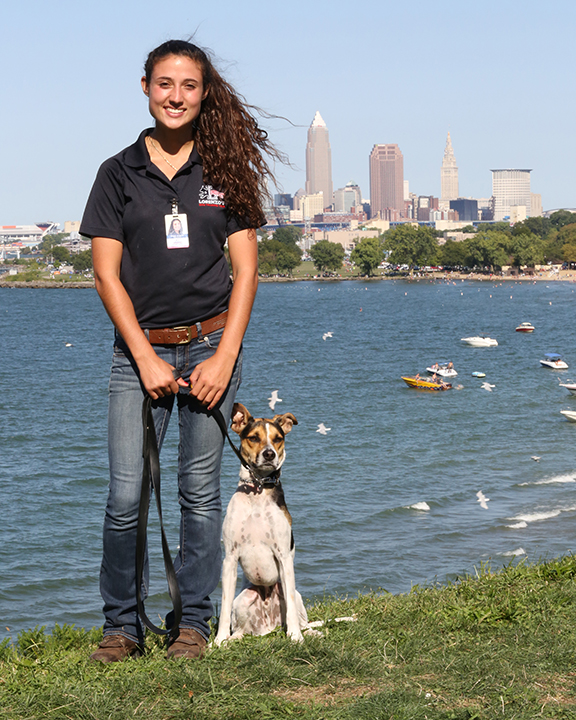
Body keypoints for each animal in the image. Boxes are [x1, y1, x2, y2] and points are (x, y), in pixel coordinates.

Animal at [214, 402, 308, 644]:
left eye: (278, 438)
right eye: (254, 438)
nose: (269, 454)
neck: (258, 490)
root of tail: (269, 627)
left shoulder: (284, 557)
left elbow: (291, 607)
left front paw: (295, 637)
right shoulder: (229, 558)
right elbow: (224, 605)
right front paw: (219, 640)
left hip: (295, 594)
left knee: (303, 618)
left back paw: (311, 632)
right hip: (243, 600)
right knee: (241, 628)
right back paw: (233, 639)